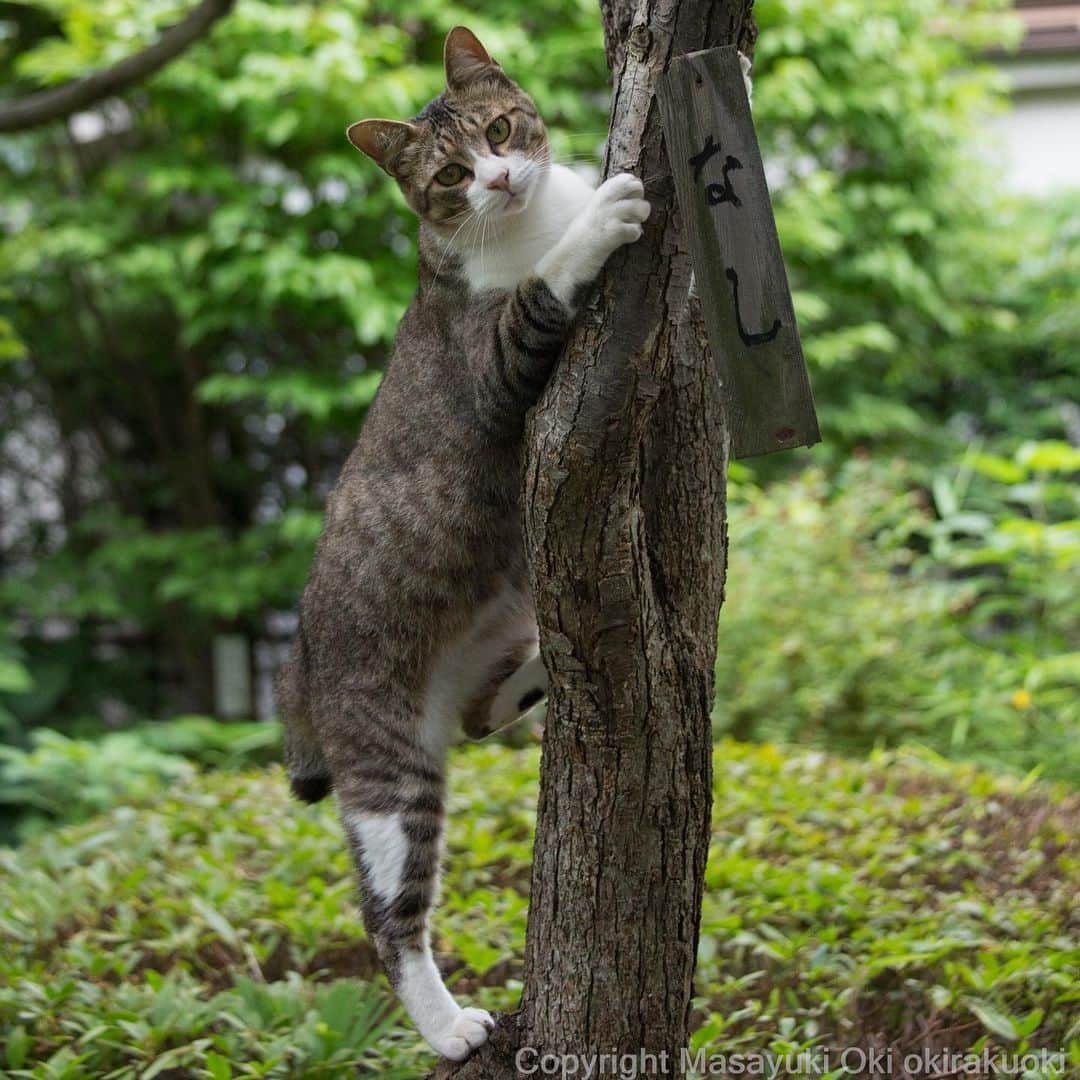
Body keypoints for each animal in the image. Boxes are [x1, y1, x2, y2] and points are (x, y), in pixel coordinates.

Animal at [274, 25, 652, 1062]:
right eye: (448, 174)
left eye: (498, 129)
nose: (499, 178)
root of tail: (296, 662)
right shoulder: (491, 360)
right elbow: (542, 286)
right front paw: (599, 218)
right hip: (389, 770)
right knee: (387, 919)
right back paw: (448, 1029)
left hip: (489, 642)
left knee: (488, 711)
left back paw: (545, 675)